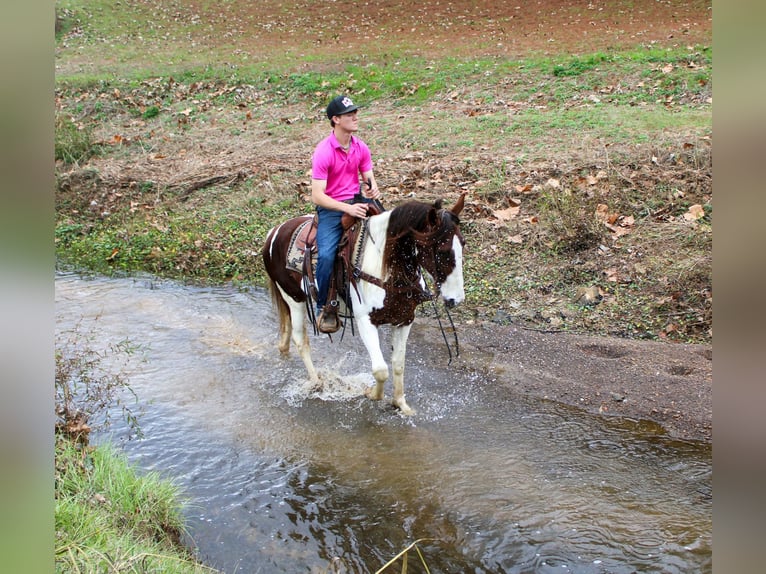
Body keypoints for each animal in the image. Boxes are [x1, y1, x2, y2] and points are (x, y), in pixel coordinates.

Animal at [261, 193, 466, 414]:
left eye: (463, 244)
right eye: (442, 250)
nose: (456, 299)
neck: (386, 268)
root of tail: (274, 231)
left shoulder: (404, 320)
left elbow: (398, 364)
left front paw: (401, 404)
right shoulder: (365, 321)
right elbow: (381, 370)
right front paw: (371, 393)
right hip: (294, 298)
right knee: (301, 340)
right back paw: (316, 382)